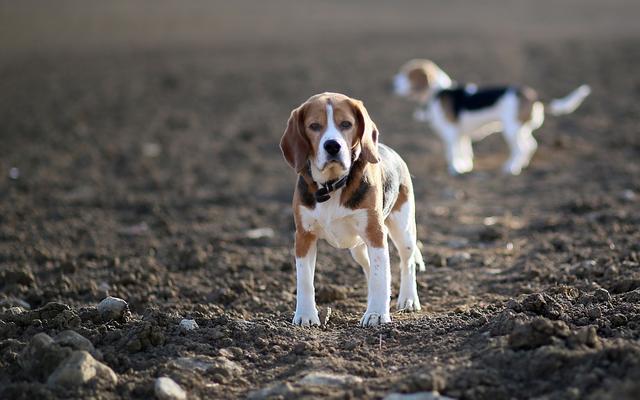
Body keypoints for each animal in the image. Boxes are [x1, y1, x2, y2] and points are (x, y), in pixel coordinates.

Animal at [282, 92, 424, 326]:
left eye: (346, 124)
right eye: (314, 126)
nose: (332, 146)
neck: (332, 185)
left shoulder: (375, 234)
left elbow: (380, 277)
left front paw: (376, 314)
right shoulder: (304, 236)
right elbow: (304, 280)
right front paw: (305, 316)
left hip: (402, 230)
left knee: (407, 262)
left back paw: (408, 299)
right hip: (357, 248)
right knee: (369, 267)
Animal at [392, 58, 592, 174]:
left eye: (407, 74)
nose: (390, 85)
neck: (438, 92)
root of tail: (530, 94)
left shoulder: (450, 134)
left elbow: (452, 153)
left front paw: (455, 169)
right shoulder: (462, 135)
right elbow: (465, 152)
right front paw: (465, 167)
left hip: (511, 130)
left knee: (521, 148)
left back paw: (511, 168)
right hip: (520, 129)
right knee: (531, 145)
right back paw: (522, 164)